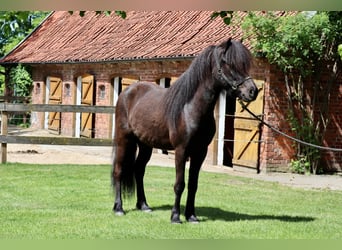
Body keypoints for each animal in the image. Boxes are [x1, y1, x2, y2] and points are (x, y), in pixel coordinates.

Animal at [111, 38, 258, 224]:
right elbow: (179, 184)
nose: (253, 91)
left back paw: (144, 205)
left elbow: (193, 185)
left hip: (146, 145)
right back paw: (119, 208)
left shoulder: (200, 152)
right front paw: (175, 216)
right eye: (228, 63)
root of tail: (127, 92)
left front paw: (191, 216)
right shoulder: (181, 151)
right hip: (124, 140)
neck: (190, 109)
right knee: (118, 171)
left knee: (139, 170)